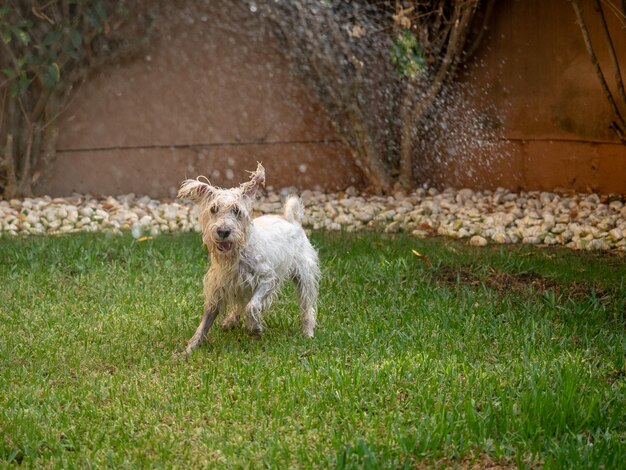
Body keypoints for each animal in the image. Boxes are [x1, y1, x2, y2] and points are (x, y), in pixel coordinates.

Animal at [178, 163, 320, 350]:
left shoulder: (268, 279)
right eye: (213, 209)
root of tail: (293, 222)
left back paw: (308, 332)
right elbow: (206, 320)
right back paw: (230, 321)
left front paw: (255, 329)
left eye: (237, 210)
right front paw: (190, 348)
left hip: (304, 276)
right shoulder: (218, 287)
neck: (236, 256)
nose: (223, 231)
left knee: (307, 306)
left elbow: (251, 306)